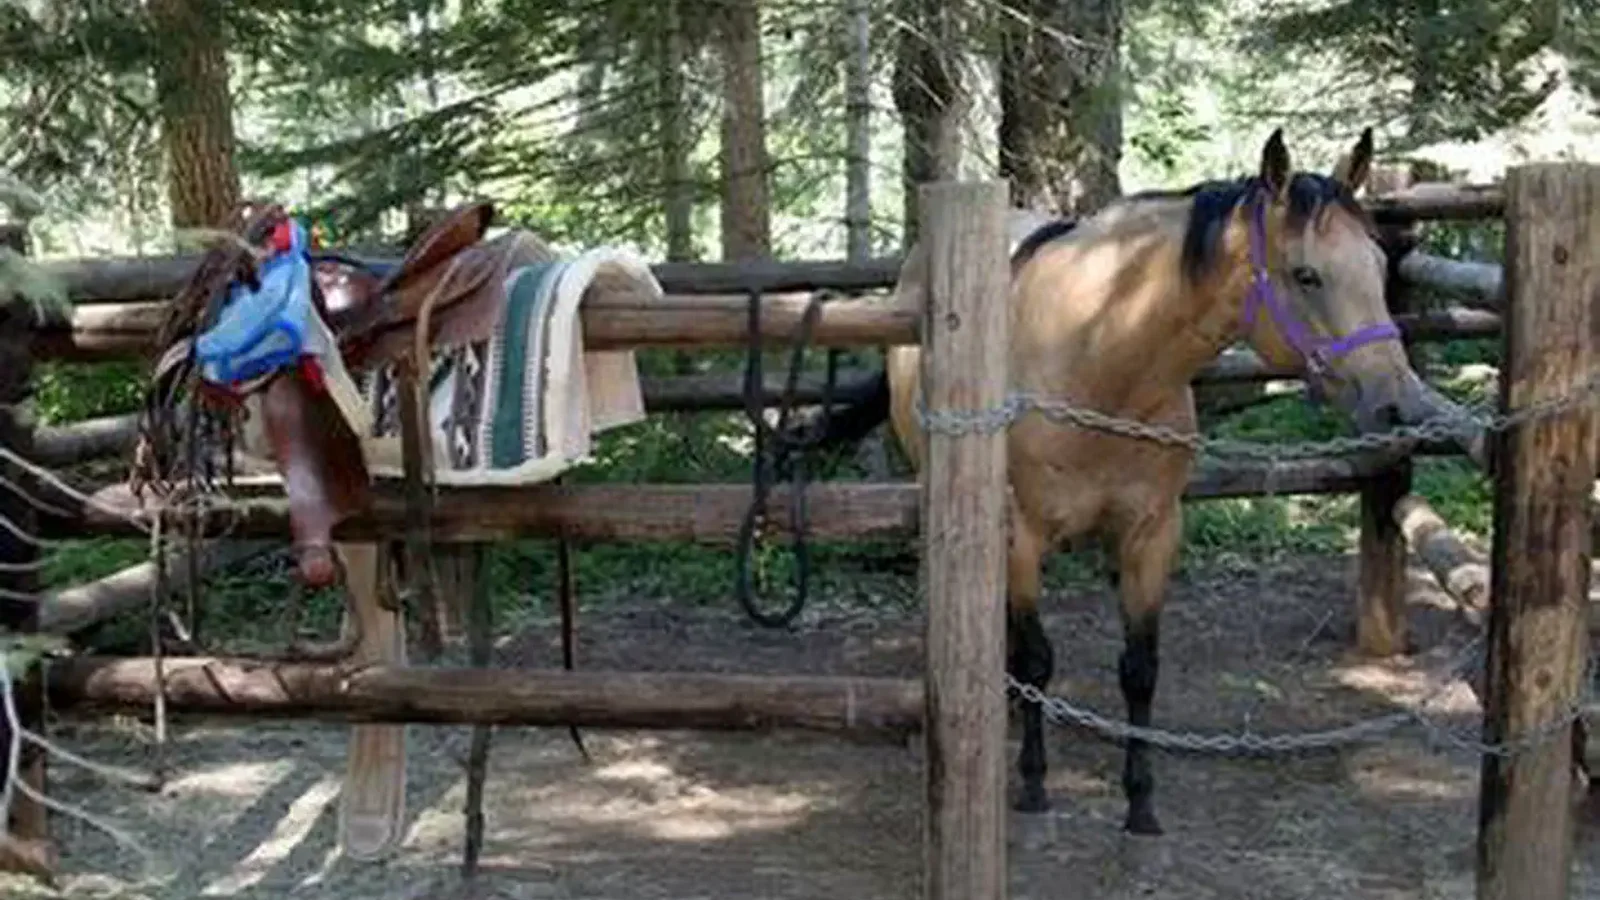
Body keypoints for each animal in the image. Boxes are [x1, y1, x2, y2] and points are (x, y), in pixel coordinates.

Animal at [831, 128, 1462, 834]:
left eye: (1380, 268)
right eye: (1307, 274)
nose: (1398, 405)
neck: (1097, 359)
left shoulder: (1152, 531)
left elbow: (1139, 669)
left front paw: (1140, 800)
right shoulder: (1021, 534)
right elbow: (1037, 658)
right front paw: (1034, 781)